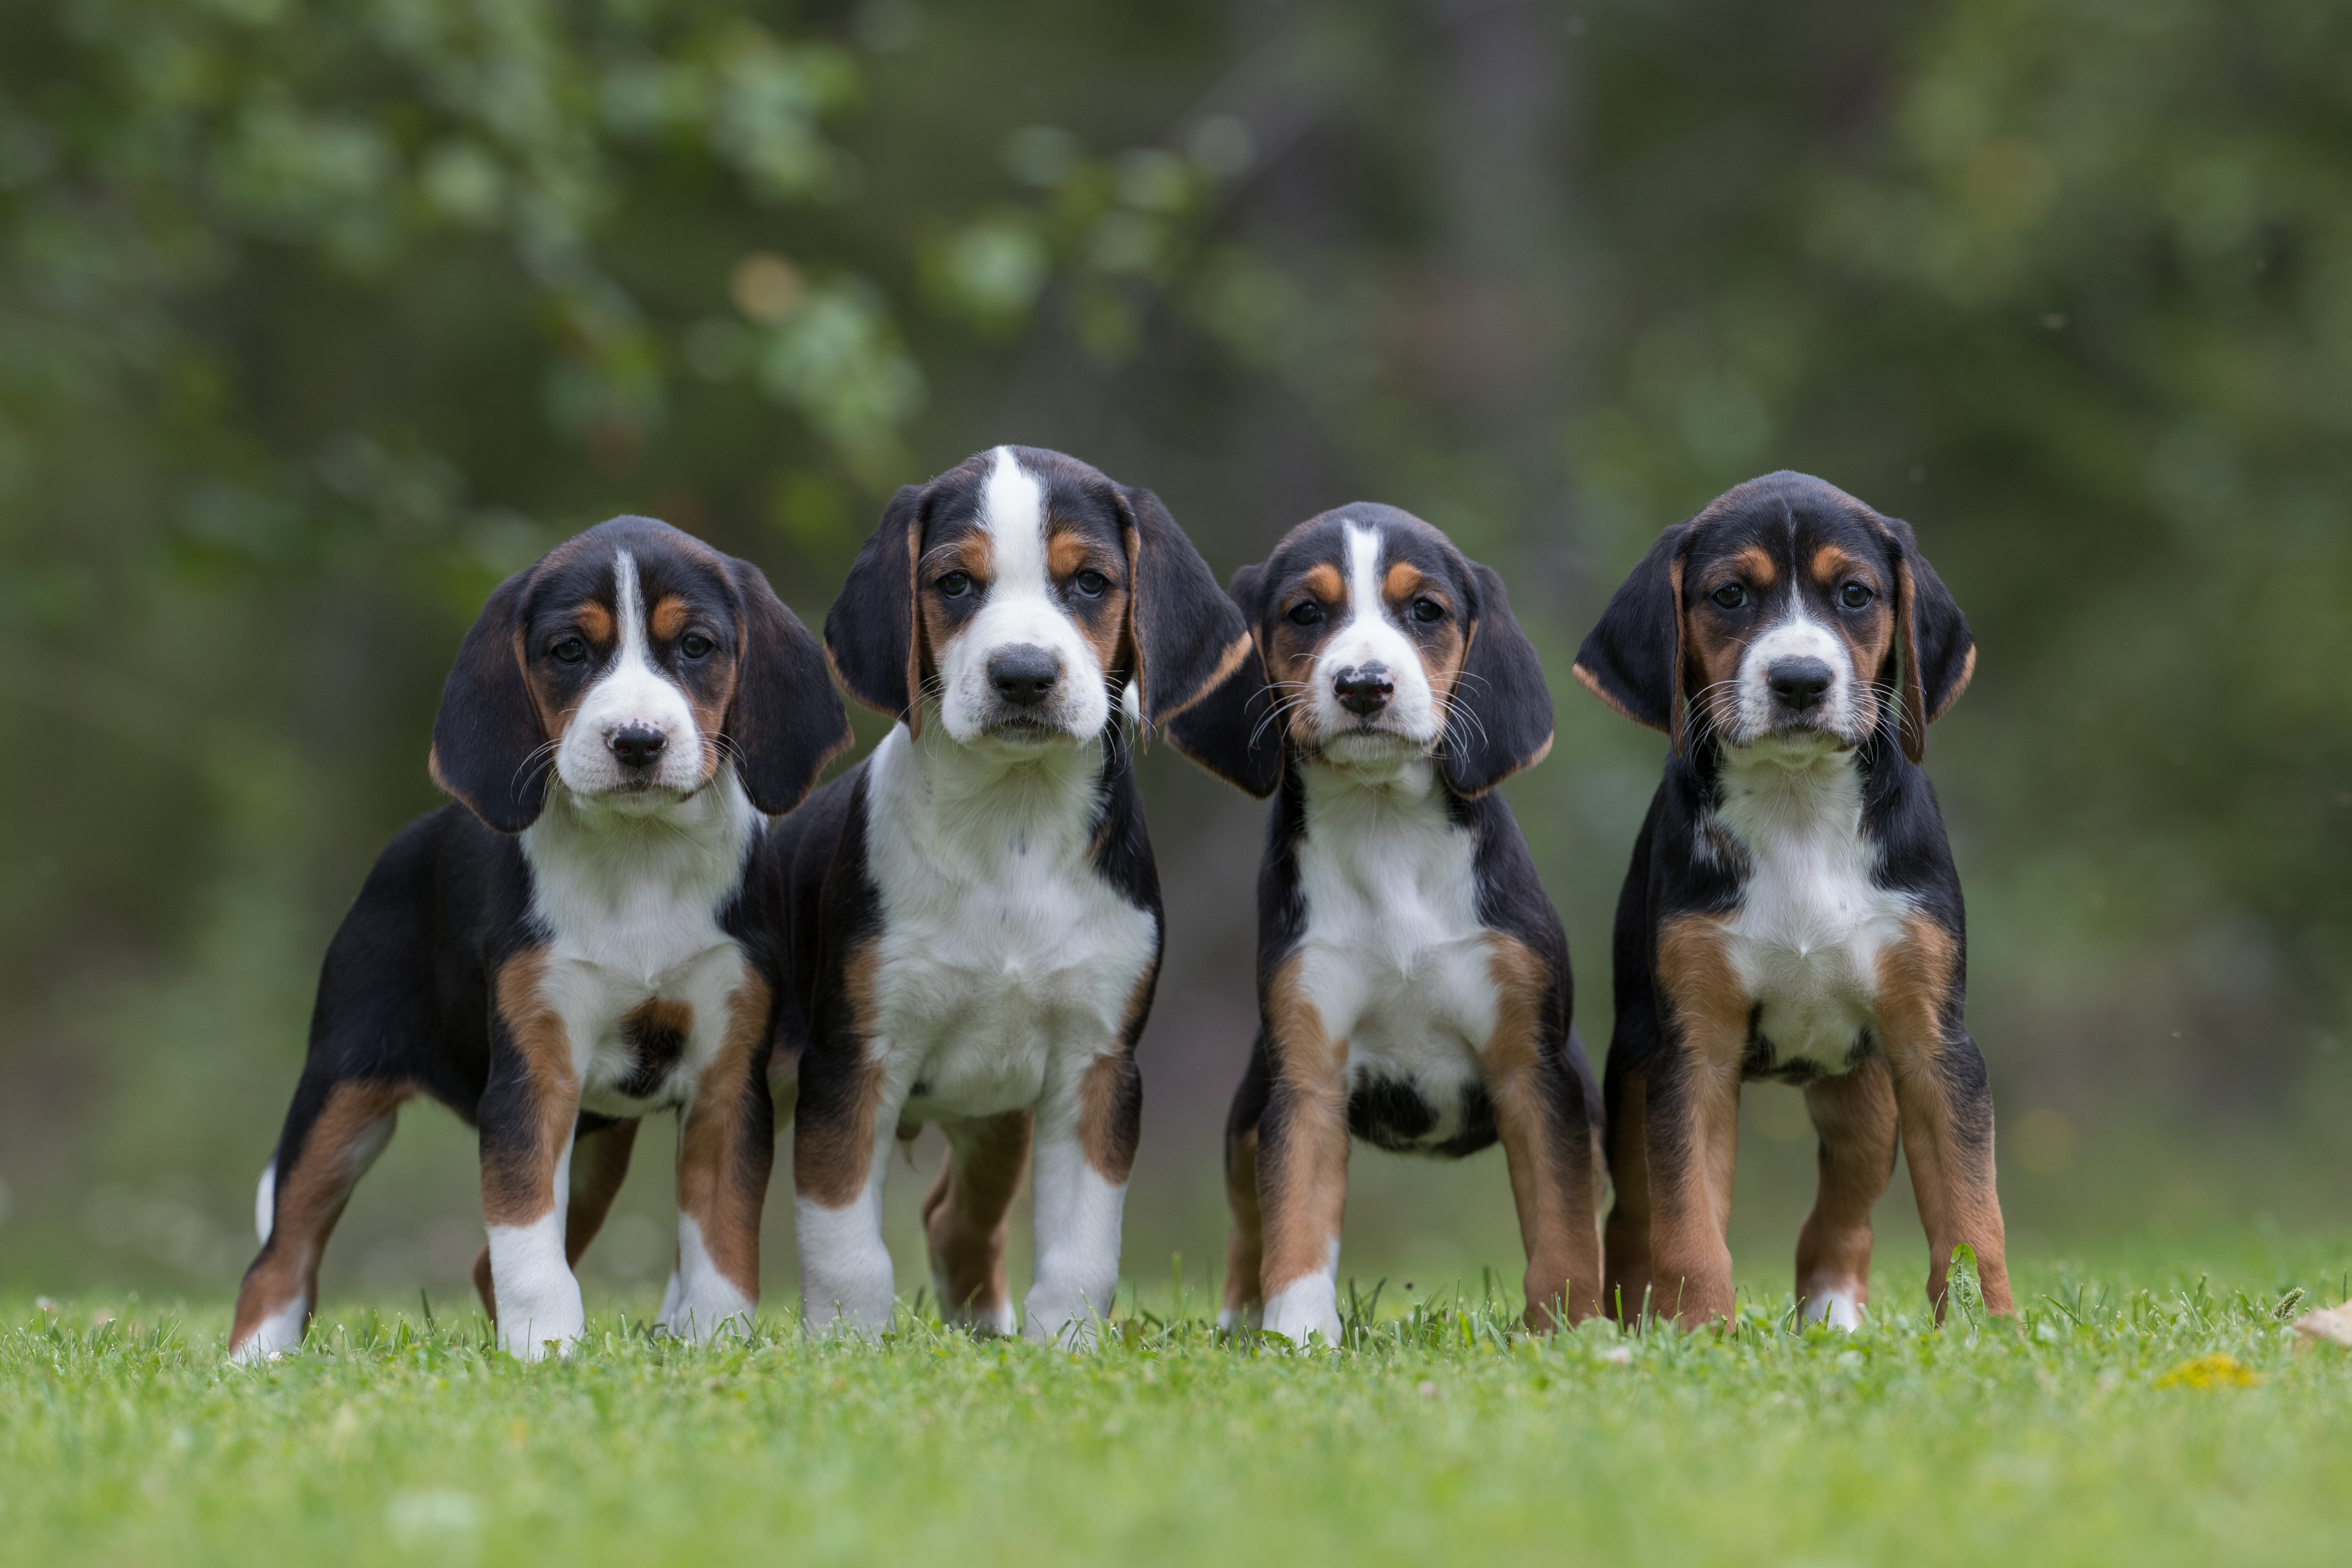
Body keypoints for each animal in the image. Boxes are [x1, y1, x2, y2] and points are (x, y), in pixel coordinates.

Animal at [224, 517, 851, 1363]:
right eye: (569, 651)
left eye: (696, 646)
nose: (636, 741)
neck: (639, 859)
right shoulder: (531, 1082)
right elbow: (527, 1240)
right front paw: (546, 1348)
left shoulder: (730, 1086)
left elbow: (720, 1241)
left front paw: (710, 1344)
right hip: (340, 1094)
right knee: (280, 1254)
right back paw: (253, 1362)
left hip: (594, 1147)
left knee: (481, 1263)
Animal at [776, 444, 1260, 1354]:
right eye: (954, 584)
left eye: (1092, 583)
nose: (1024, 675)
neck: (1013, 823)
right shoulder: (851, 1063)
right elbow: (842, 1241)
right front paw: (845, 1350)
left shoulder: (1096, 1069)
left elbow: (1081, 1245)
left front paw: (1063, 1346)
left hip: (994, 1115)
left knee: (953, 1221)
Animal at [1171, 510, 1599, 1345]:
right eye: (1305, 612)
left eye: (1425, 611)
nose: (1364, 684)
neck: (1384, 830)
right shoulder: (1304, 1083)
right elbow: (1295, 1223)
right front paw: (1297, 1337)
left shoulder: (1536, 1074)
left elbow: (1561, 1226)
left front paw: (1569, 1328)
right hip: (1246, 1116)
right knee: (1247, 1227)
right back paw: (1239, 1321)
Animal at [1571, 472, 2013, 1335]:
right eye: (1729, 595)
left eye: (1855, 594)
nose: (1801, 681)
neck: (1797, 802)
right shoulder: (1691, 1056)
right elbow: (1689, 1221)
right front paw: (1700, 1331)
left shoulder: (1935, 1045)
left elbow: (1971, 1213)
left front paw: (1990, 1329)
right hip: (1635, 1074)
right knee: (1635, 1218)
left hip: (1866, 1102)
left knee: (1840, 1220)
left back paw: (1832, 1314)